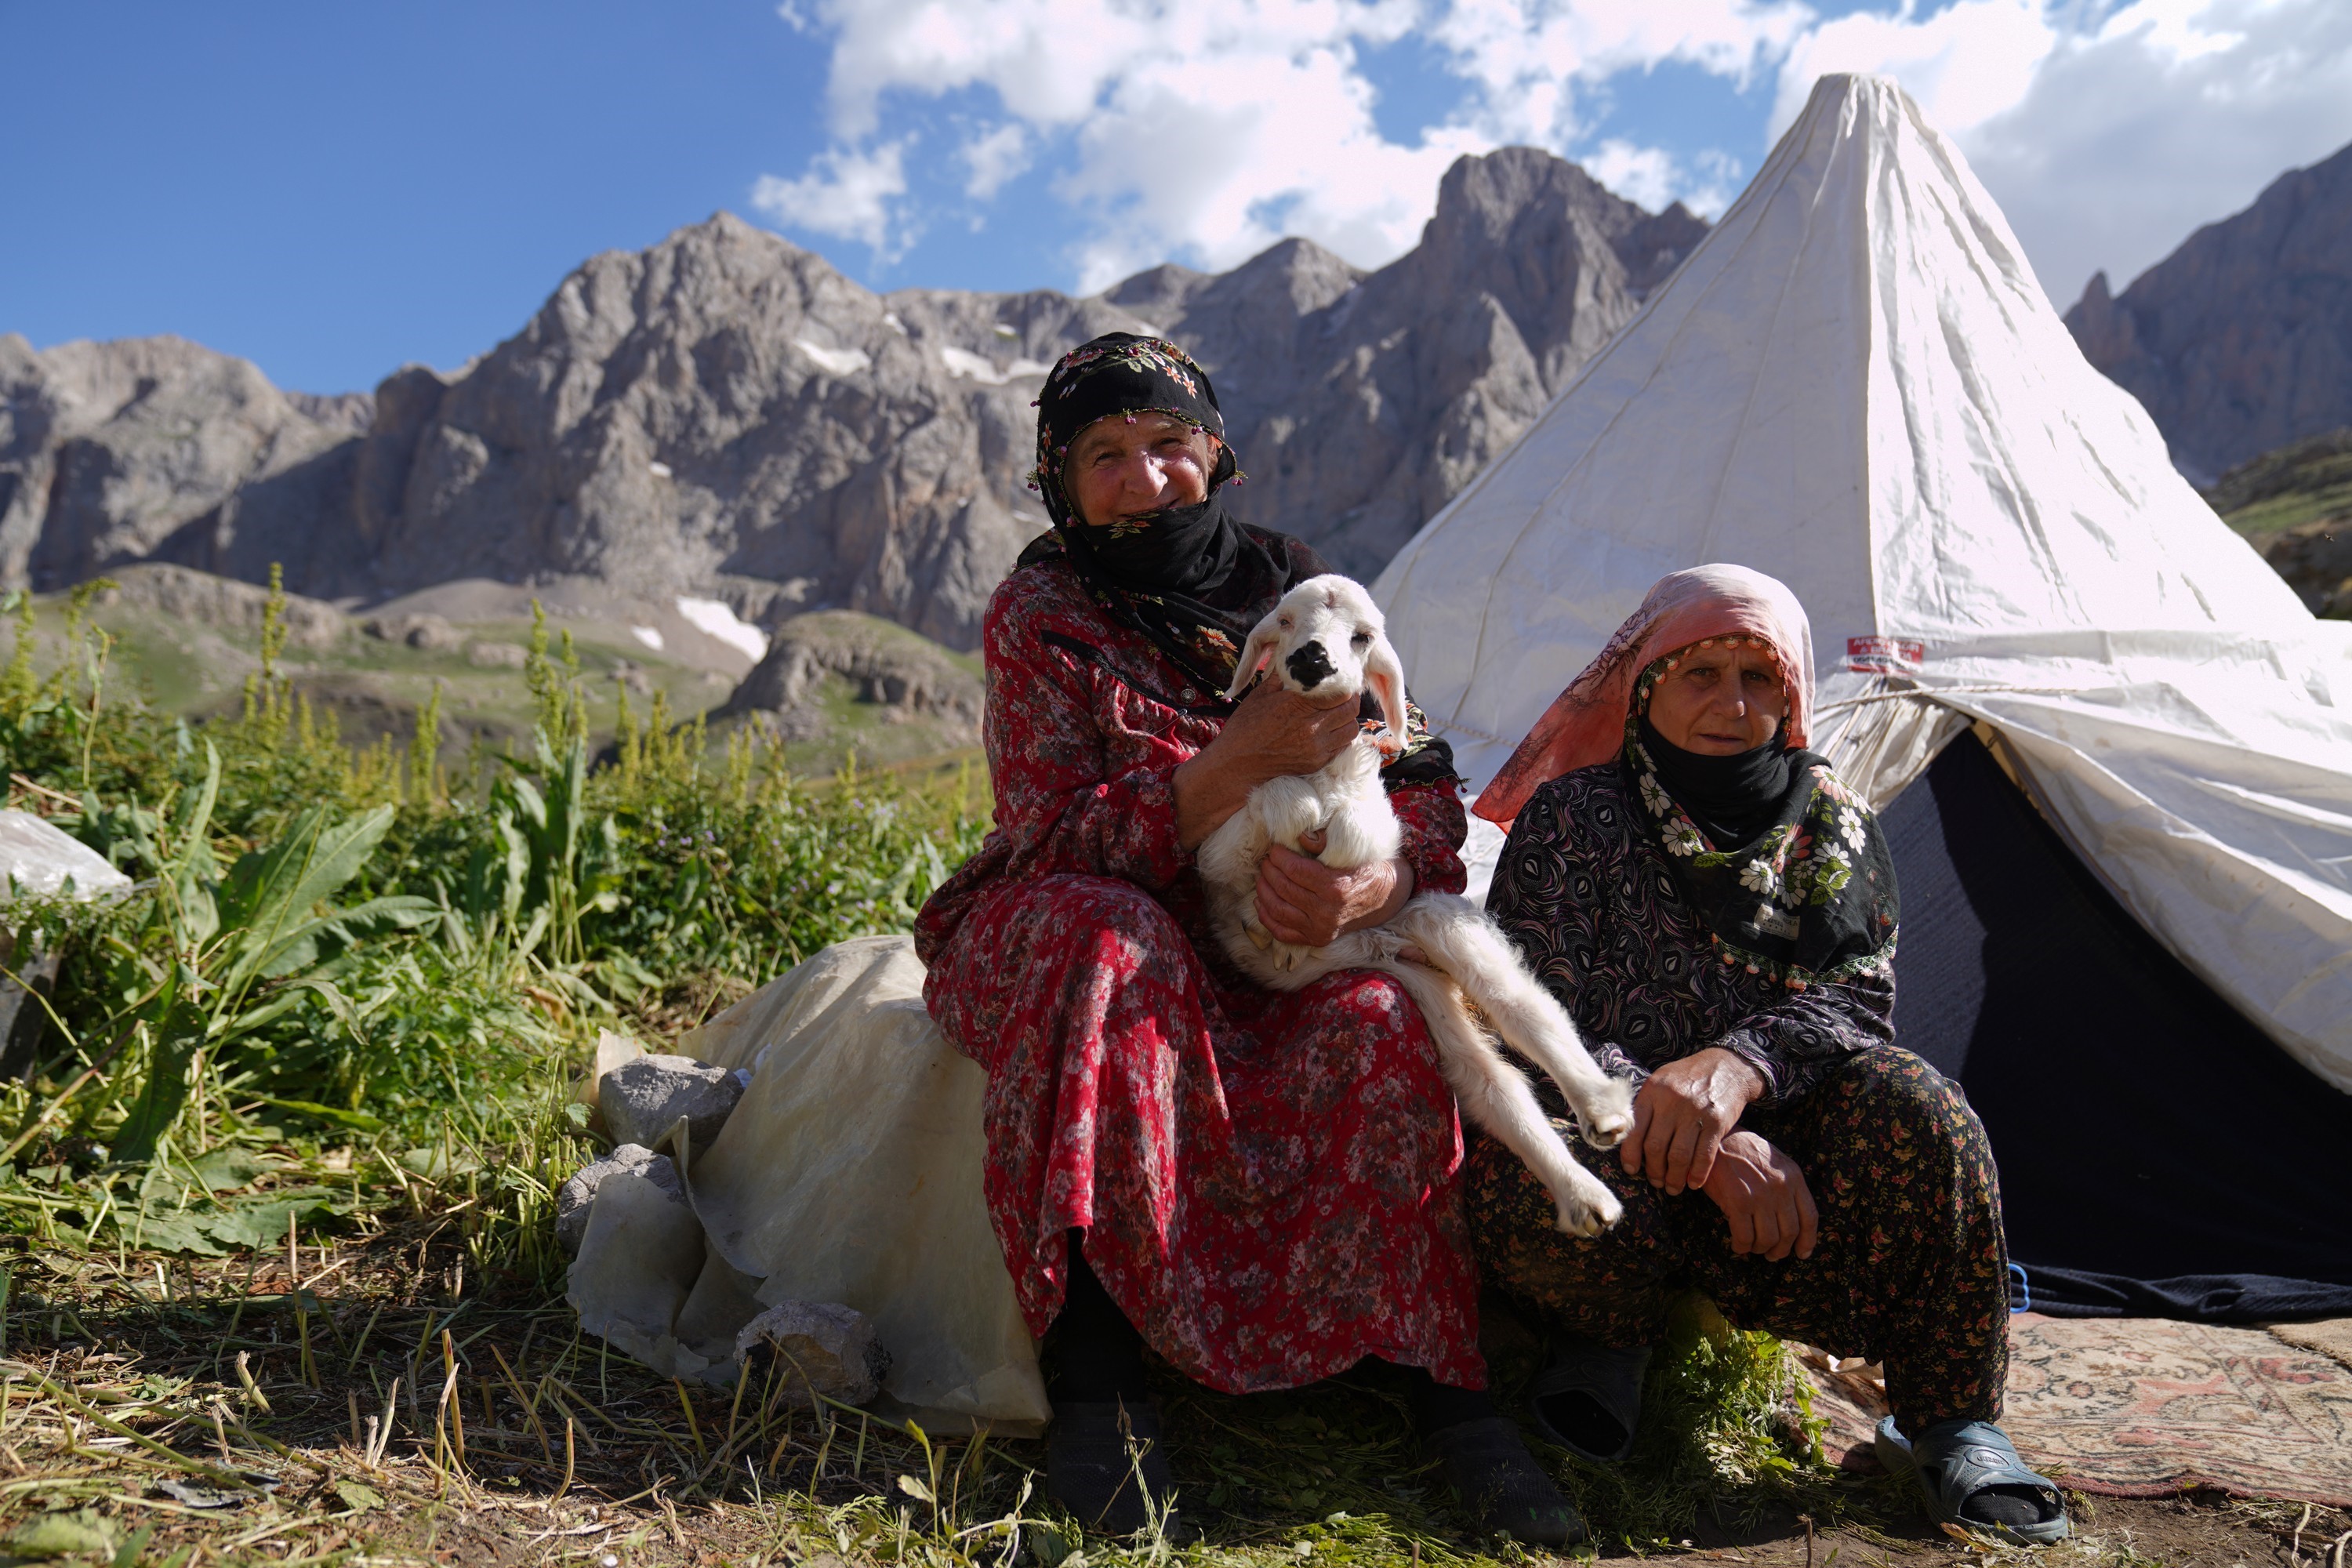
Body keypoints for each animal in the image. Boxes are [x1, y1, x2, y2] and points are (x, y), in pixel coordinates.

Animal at [1204, 575, 1628, 1241]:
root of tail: (1387, 945)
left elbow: (1351, 832)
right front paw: (1287, 867)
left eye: (1362, 637)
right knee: (1491, 1083)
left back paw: (1603, 1112)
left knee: (1525, 1009)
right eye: (1287, 621)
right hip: (1419, 987)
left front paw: (1300, 907)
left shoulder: (1379, 828)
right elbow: (1274, 802)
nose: (1311, 660)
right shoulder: (1215, 856)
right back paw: (1584, 1197)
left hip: (1435, 918)